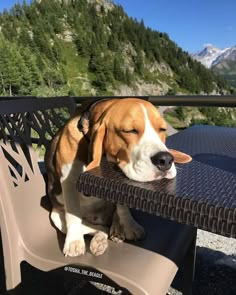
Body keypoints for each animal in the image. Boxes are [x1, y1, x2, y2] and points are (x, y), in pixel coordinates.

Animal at [44, 98, 192, 258]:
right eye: (130, 131)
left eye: (162, 129)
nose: (165, 160)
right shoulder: (68, 181)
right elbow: (73, 214)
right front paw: (74, 242)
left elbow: (122, 206)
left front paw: (129, 225)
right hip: (56, 217)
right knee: (98, 228)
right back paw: (100, 239)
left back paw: (115, 229)